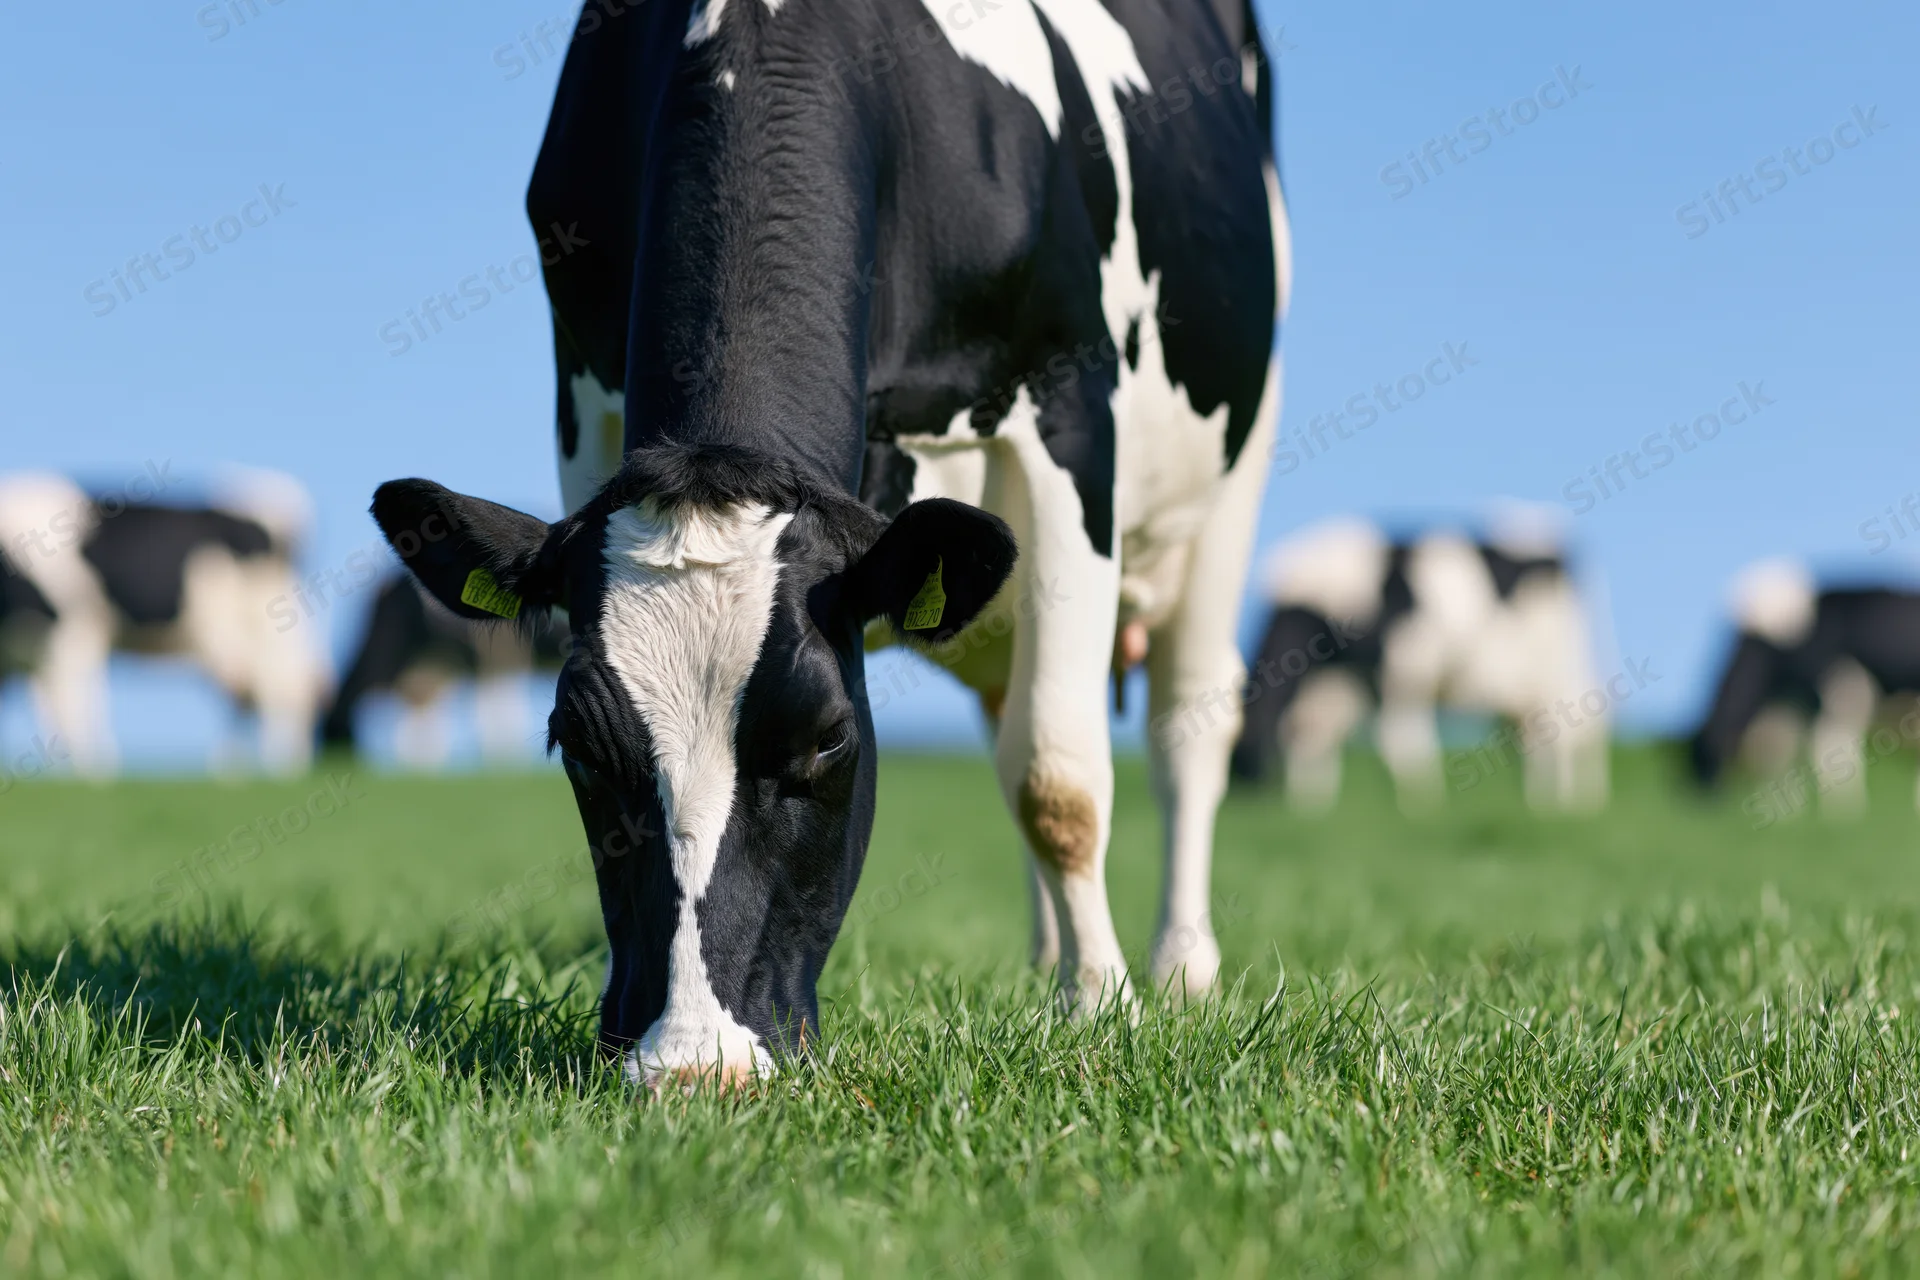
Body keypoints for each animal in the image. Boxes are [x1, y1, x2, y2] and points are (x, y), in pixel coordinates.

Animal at [0, 469, 328, 775]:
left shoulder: (74, 630)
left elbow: (75, 709)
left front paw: (95, 773)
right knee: (255, 689)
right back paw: (234, 770)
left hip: (270, 621)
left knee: (285, 685)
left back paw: (281, 769)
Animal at [369, 0, 1287, 1088]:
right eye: (577, 746)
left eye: (830, 738)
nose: (696, 1068)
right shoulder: (582, 401)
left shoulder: (1069, 406)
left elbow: (1058, 776)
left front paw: (1105, 1009)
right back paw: (1045, 956)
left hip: (1234, 472)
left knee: (1189, 723)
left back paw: (1180, 967)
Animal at [1231, 516, 1610, 812]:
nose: (1243, 805)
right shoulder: (1337, 682)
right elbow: (1309, 733)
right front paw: (1312, 807)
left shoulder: (1403, 665)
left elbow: (1400, 741)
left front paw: (1418, 807)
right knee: (1537, 733)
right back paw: (1544, 800)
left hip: (1557, 668)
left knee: (1569, 730)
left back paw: (1563, 803)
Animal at [1691, 558, 1920, 817]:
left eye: (1705, 753)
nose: (1707, 802)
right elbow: (1788, 745)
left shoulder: (1845, 682)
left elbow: (1831, 742)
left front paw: (1843, 809)